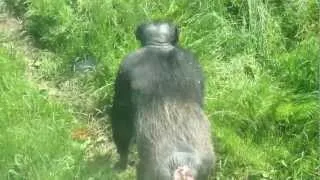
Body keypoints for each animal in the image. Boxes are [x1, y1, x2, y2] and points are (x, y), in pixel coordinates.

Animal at [110, 21, 215, 180]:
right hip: (206, 167)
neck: (160, 45)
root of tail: (182, 167)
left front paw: (121, 161)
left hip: (153, 170)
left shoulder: (125, 67)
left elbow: (121, 118)